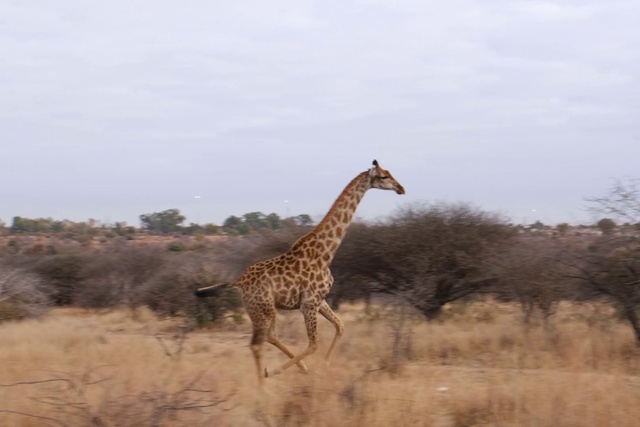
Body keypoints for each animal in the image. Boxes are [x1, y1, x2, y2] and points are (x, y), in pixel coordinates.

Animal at [195, 160, 405, 385]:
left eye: (389, 173)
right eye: (383, 176)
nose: (401, 188)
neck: (325, 253)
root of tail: (239, 281)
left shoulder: (319, 299)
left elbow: (340, 326)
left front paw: (323, 366)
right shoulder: (309, 304)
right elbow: (314, 343)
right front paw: (281, 370)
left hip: (262, 310)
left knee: (269, 336)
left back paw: (292, 370)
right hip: (264, 309)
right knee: (257, 343)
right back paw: (265, 384)